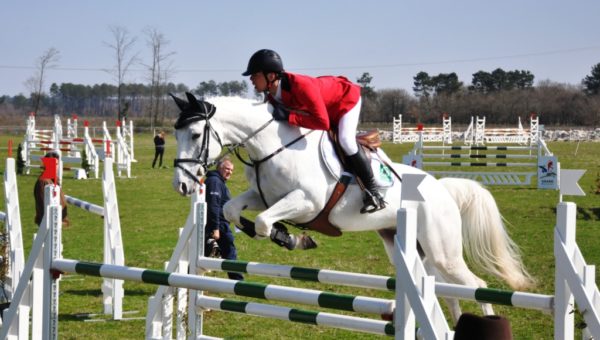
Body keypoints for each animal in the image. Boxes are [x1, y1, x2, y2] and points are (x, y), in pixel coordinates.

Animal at [171, 93, 532, 322]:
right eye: (176, 135)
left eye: (195, 134)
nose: (183, 186)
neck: (272, 147)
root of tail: (441, 189)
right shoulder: (266, 197)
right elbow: (234, 211)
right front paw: (287, 236)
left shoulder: (306, 201)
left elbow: (261, 222)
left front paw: (290, 237)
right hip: (412, 248)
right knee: (444, 288)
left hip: (444, 251)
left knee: (475, 286)